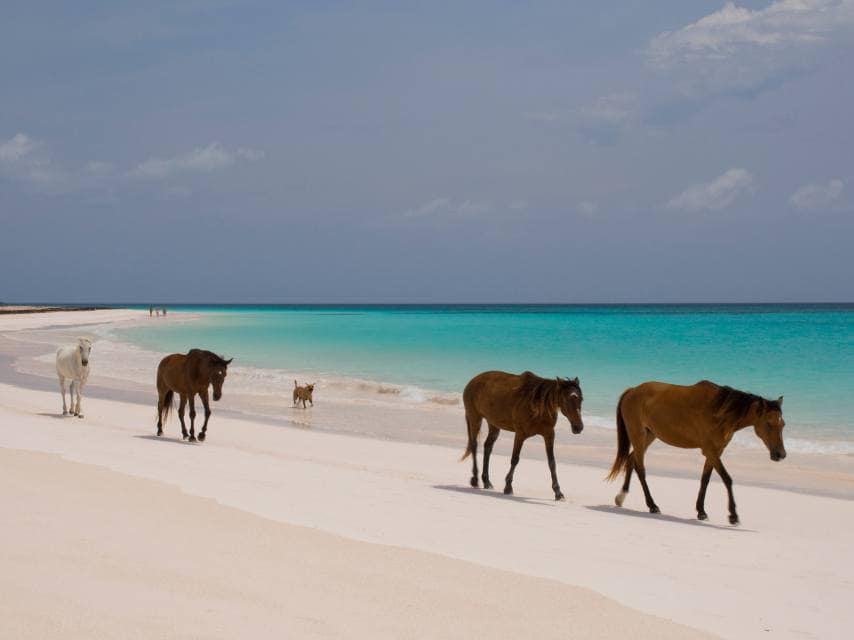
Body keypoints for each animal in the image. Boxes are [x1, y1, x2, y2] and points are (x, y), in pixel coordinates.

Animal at [462, 371, 584, 500]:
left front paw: (558, 492)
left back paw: (486, 481)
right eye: (566, 400)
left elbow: (552, 463)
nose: (578, 427)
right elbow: (515, 459)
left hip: (493, 424)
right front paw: (508, 487)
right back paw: (475, 480)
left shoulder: (549, 435)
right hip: (475, 417)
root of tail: (473, 381)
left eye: (581, 399)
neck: (538, 405)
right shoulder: (520, 434)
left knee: (487, 447)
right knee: (474, 445)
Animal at [607, 380, 786, 525]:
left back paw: (621, 496)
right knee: (640, 468)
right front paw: (733, 515)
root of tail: (632, 390)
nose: (781, 454)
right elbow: (727, 479)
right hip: (638, 435)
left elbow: (705, 479)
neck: (720, 411)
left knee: (631, 460)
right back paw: (652, 505)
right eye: (769, 423)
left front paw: (701, 511)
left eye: (783, 424)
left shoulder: (716, 451)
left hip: (649, 435)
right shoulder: (710, 450)